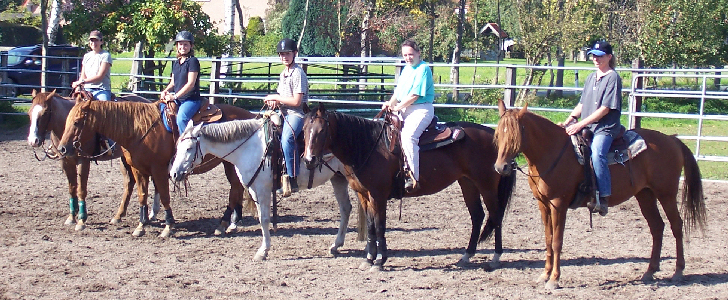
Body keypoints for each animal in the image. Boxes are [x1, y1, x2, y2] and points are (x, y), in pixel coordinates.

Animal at [26, 90, 155, 231]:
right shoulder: (65, 161)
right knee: (129, 182)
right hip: (125, 158)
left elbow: (81, 189)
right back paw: (119, 215)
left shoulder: (83, 160)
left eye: (44, 113)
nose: (33, 141)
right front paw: (71, 217)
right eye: (29, 112)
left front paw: (81, 220)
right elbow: (72, 188)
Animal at [54, 99, 253, 238]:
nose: (62, 148)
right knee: (236, 189)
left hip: (231, 163)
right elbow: (142, 195)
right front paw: (141, 225)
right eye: (67, 120)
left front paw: (168, 226)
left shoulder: (159, 169)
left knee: (235, 190)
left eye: (77, 122)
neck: (137, 130)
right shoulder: (138, 170)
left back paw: (225, 223)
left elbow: (164, 195)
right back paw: (230, 223)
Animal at [168, 118, 356, 258]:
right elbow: (260, 217)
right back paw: (336, 245)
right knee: (346, 208)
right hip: (338, 178)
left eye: (189, 148)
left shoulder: (264, 189)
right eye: (177, 146)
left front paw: (263, 251)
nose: (174, 173)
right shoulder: (254, 190)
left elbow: (264, 219)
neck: (250, 148)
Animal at [302, 105, 516, 272]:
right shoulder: (364, 195)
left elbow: (380, 226)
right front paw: (369, 259)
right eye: (304, 128)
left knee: (495, 216)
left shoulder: (378, 196)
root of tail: (494, 135)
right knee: (477, 216)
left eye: (322, 130)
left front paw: (380, 261)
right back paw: (466, 255)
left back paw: (495, 257)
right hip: (468, 183)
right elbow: (371, 227)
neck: (368, 145)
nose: (309, 160)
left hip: (486, 185)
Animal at [492, 99, 708, 290]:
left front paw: (554, 280)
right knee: (657, 227)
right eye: (497, 135)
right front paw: (544, 275)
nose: (501, 167)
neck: (552, 152)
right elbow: (547, 239)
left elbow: (557, 241)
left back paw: (678, 272)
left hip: (666, 194)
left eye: (515, 135)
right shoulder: (543, 204)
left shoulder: (558, 204)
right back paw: (649, 272)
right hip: (645, 195)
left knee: (676, 225)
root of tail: (672, 140)